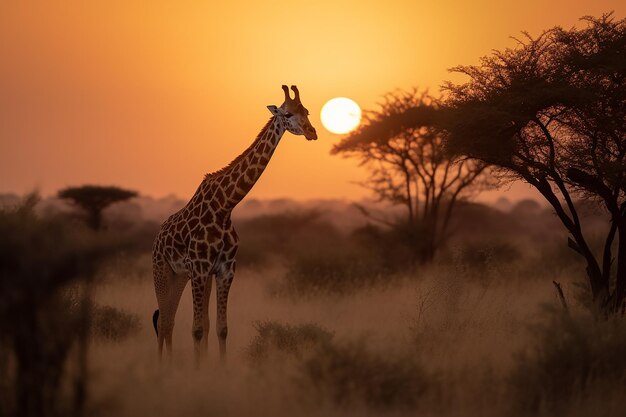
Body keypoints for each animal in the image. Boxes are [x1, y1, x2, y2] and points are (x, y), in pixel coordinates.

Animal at [151, 85, 316, 360]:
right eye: (287, 114)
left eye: (307, 111)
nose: (312, 132)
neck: (225, 206)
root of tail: (157, 238)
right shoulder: (200, 268)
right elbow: (197, 329)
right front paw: (198, 368)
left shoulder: (224, 269)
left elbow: (219, 327)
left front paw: (217, 365)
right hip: (162, 270)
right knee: (164, 320)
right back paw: (164, 365)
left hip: (181, 275)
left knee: (171, 320)